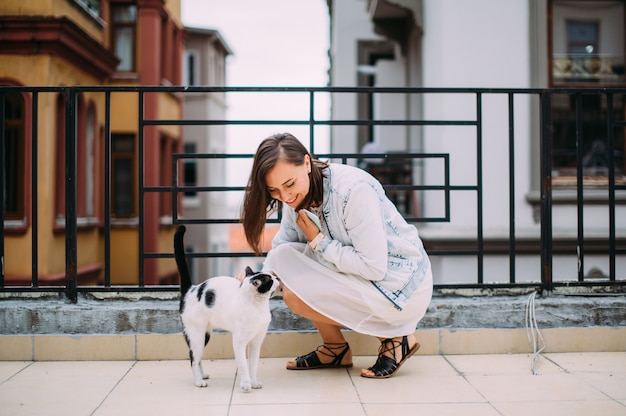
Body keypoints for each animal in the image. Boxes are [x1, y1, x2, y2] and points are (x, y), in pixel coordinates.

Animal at [172, 226, 276, 392]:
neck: (258, 307)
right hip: (196, 335)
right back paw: (199, 381)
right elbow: (243, 365)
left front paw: (254, 382)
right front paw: (246, 384)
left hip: (205, 336)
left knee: (198, 357)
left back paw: (203, 375)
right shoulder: (239, 342)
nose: (277, 278)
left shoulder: (256, 342)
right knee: (193, 358)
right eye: (270, 281)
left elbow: (253, 365)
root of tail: (191, 289)